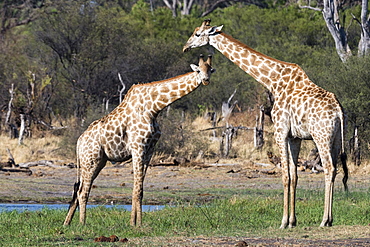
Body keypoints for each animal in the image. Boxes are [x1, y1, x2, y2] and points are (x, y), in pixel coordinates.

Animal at [62, 55, 214, 227]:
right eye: (199, 70)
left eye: (210, 70)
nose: (206, 80)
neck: (154, 107)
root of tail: (79, 142)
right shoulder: (138, 147)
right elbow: (137, 189)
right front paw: (138, 224)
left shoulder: (149, 150)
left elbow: (139, 189)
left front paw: (134, 222)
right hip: (91, 160)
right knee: (82, 191)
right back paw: (82, 223)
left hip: (97, 161)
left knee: (78, 189)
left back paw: (67, 223)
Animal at [184, 20, 348, 229]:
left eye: (197, 34)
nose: (185, 46)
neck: (273, 81)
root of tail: (338, 110)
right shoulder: (294, 137)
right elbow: (294, 175)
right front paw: (293, 221)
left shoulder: (280, 131)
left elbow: (285, 175)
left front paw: (283, 222)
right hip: (336, 139)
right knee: (334, 169)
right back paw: (330, 219)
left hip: (321, 136)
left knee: (329, 168)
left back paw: (324, 220)